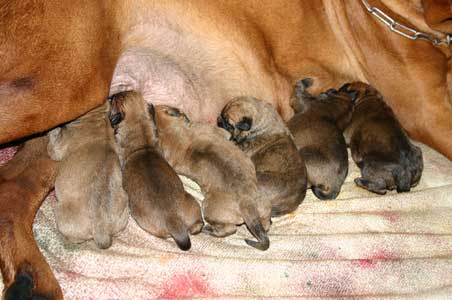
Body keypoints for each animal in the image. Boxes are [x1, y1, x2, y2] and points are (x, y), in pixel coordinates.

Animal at [47, 103, 128, 248]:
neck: (97, 118)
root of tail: (101, 229)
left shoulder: (57, 148)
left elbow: (53, 144)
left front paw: (52, 130)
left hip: (61, 212)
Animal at [154, 105, 270, 251]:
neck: (170, 130)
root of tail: (247, 202)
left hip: (208, 208)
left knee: (231, 228)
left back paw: (208, 229)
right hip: (263, 205)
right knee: (262, 224)